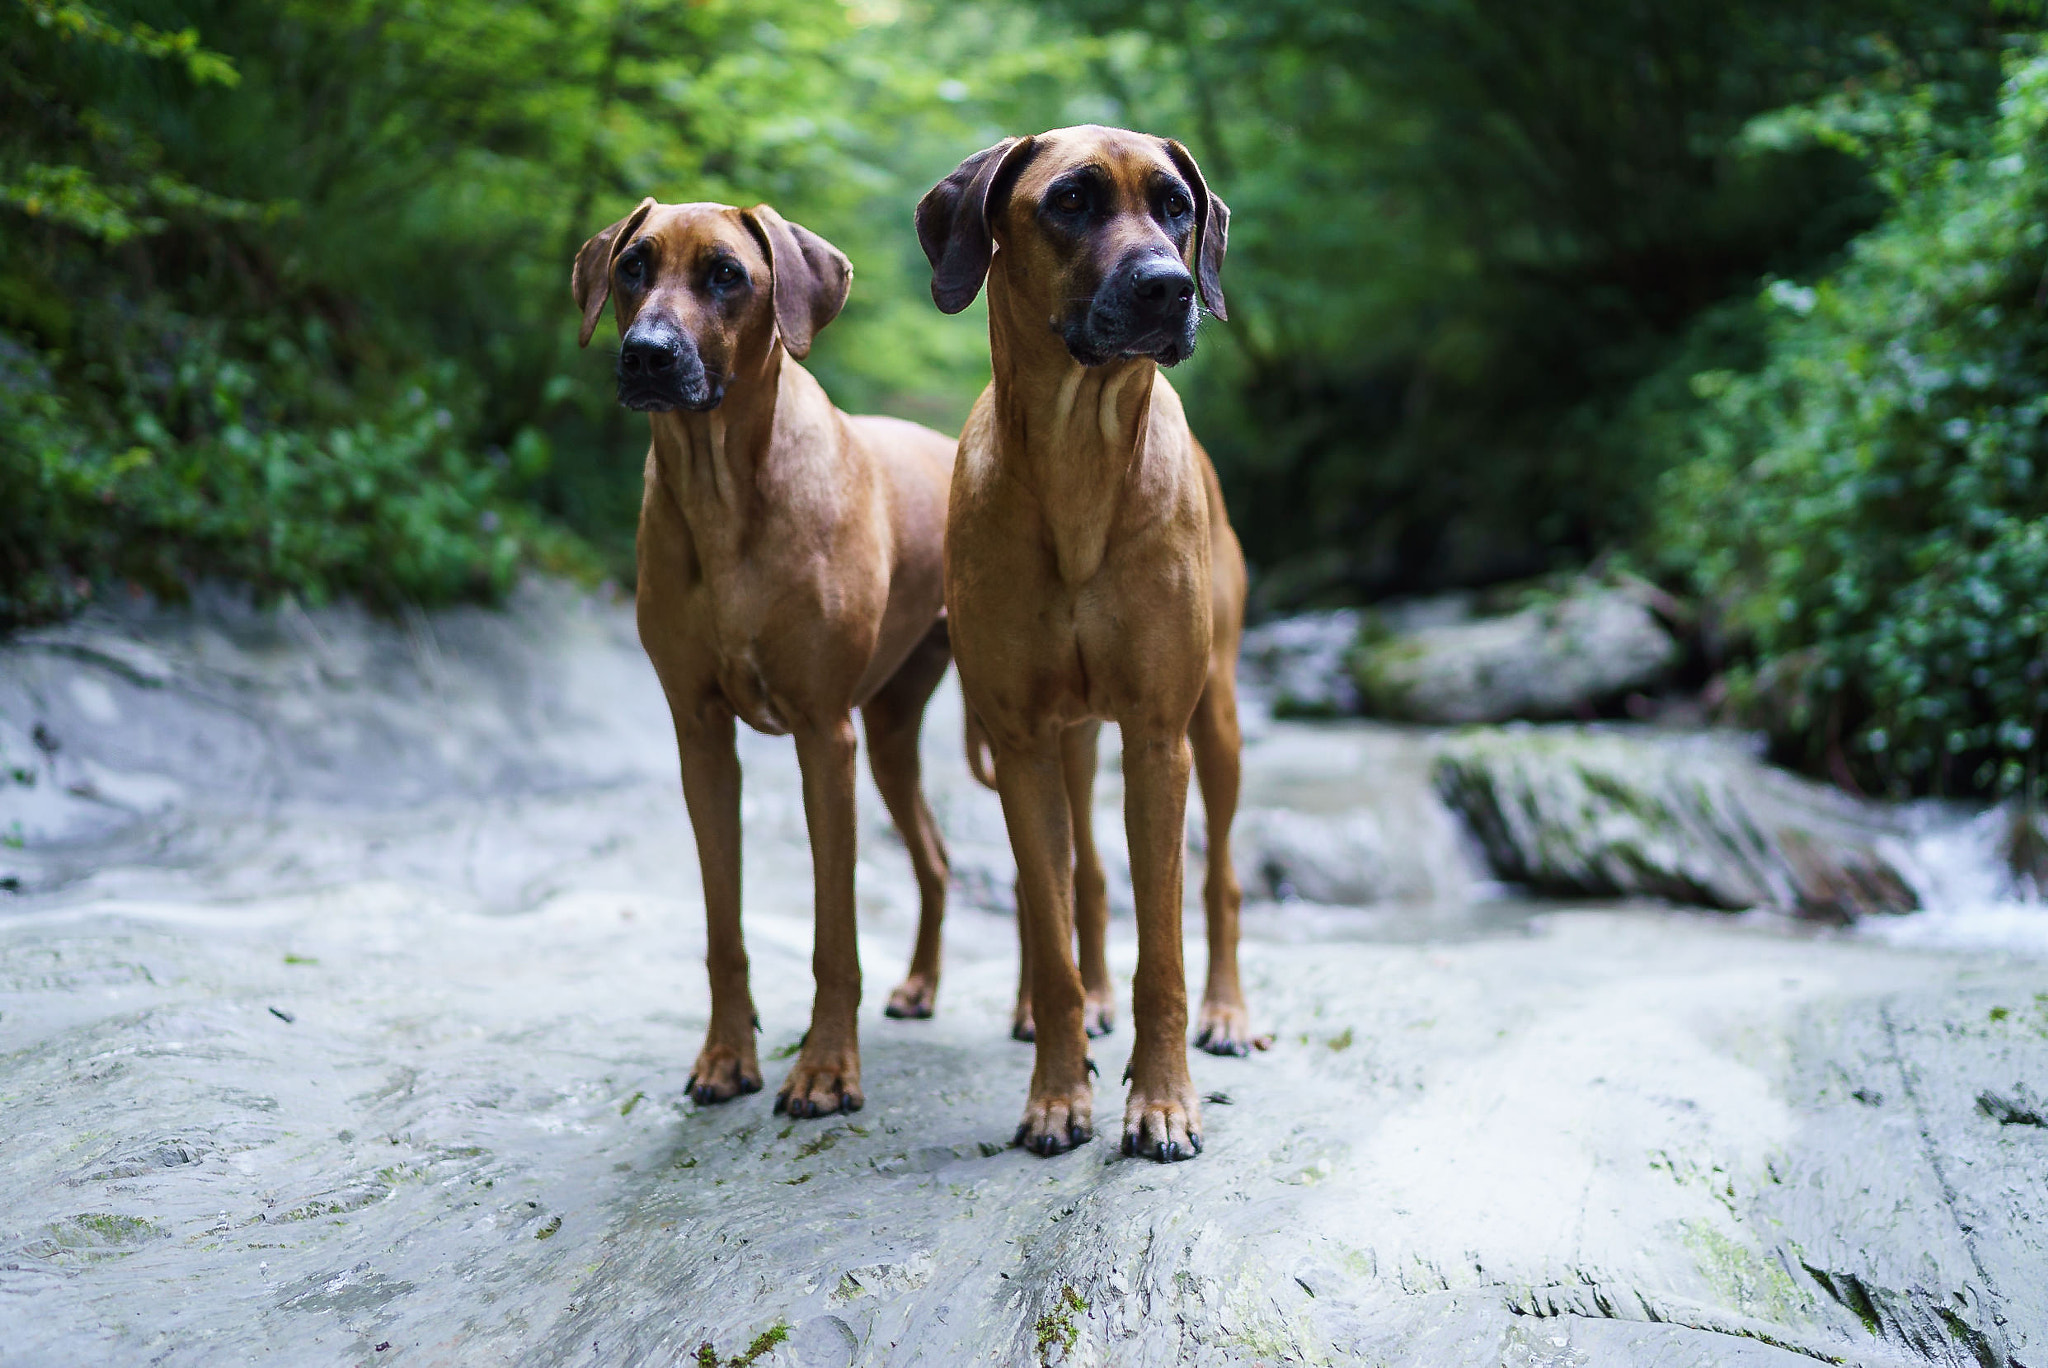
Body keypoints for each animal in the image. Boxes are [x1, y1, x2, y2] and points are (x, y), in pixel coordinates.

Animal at [573, 205, 954, 1122]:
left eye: (727, 275)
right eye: (633, 266)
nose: (647, 353)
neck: (723, 496)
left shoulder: (824, 737)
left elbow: (834, 937)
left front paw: (826, 1070)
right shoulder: (701, 738)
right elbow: (724, 929)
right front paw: (725, 1055)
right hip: (891, 735)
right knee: (936, 859)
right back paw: (921, 987)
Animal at [925, 127, 1245, 1163]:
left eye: (1177, 206)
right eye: (1069, 200)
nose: (1169, 288)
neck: (1079, 459)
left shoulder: (1157, 737)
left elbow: (1166, 947)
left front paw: (1165, 1103)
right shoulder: (1022, 739)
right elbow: (1056, 923)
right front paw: (1058, 1095)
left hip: (1218, 720)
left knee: (1221, 882)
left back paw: (1229, 1014)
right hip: (1061, 742)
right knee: (1078, 885)